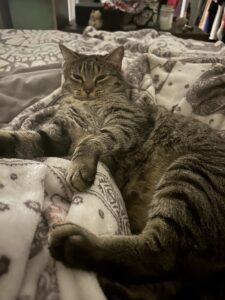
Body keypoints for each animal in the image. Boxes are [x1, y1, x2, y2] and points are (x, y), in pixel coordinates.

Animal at [1, 45, 225, 300]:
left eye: (100, 77)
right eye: (77, 77)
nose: (88, 89)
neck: (89, 103)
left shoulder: (125, 123)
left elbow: (92, 139)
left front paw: (79, 166)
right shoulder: (58, 133)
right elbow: (24, 139)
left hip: (188, 177)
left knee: (161, 254)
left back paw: (75, 244)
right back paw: (113, 285)